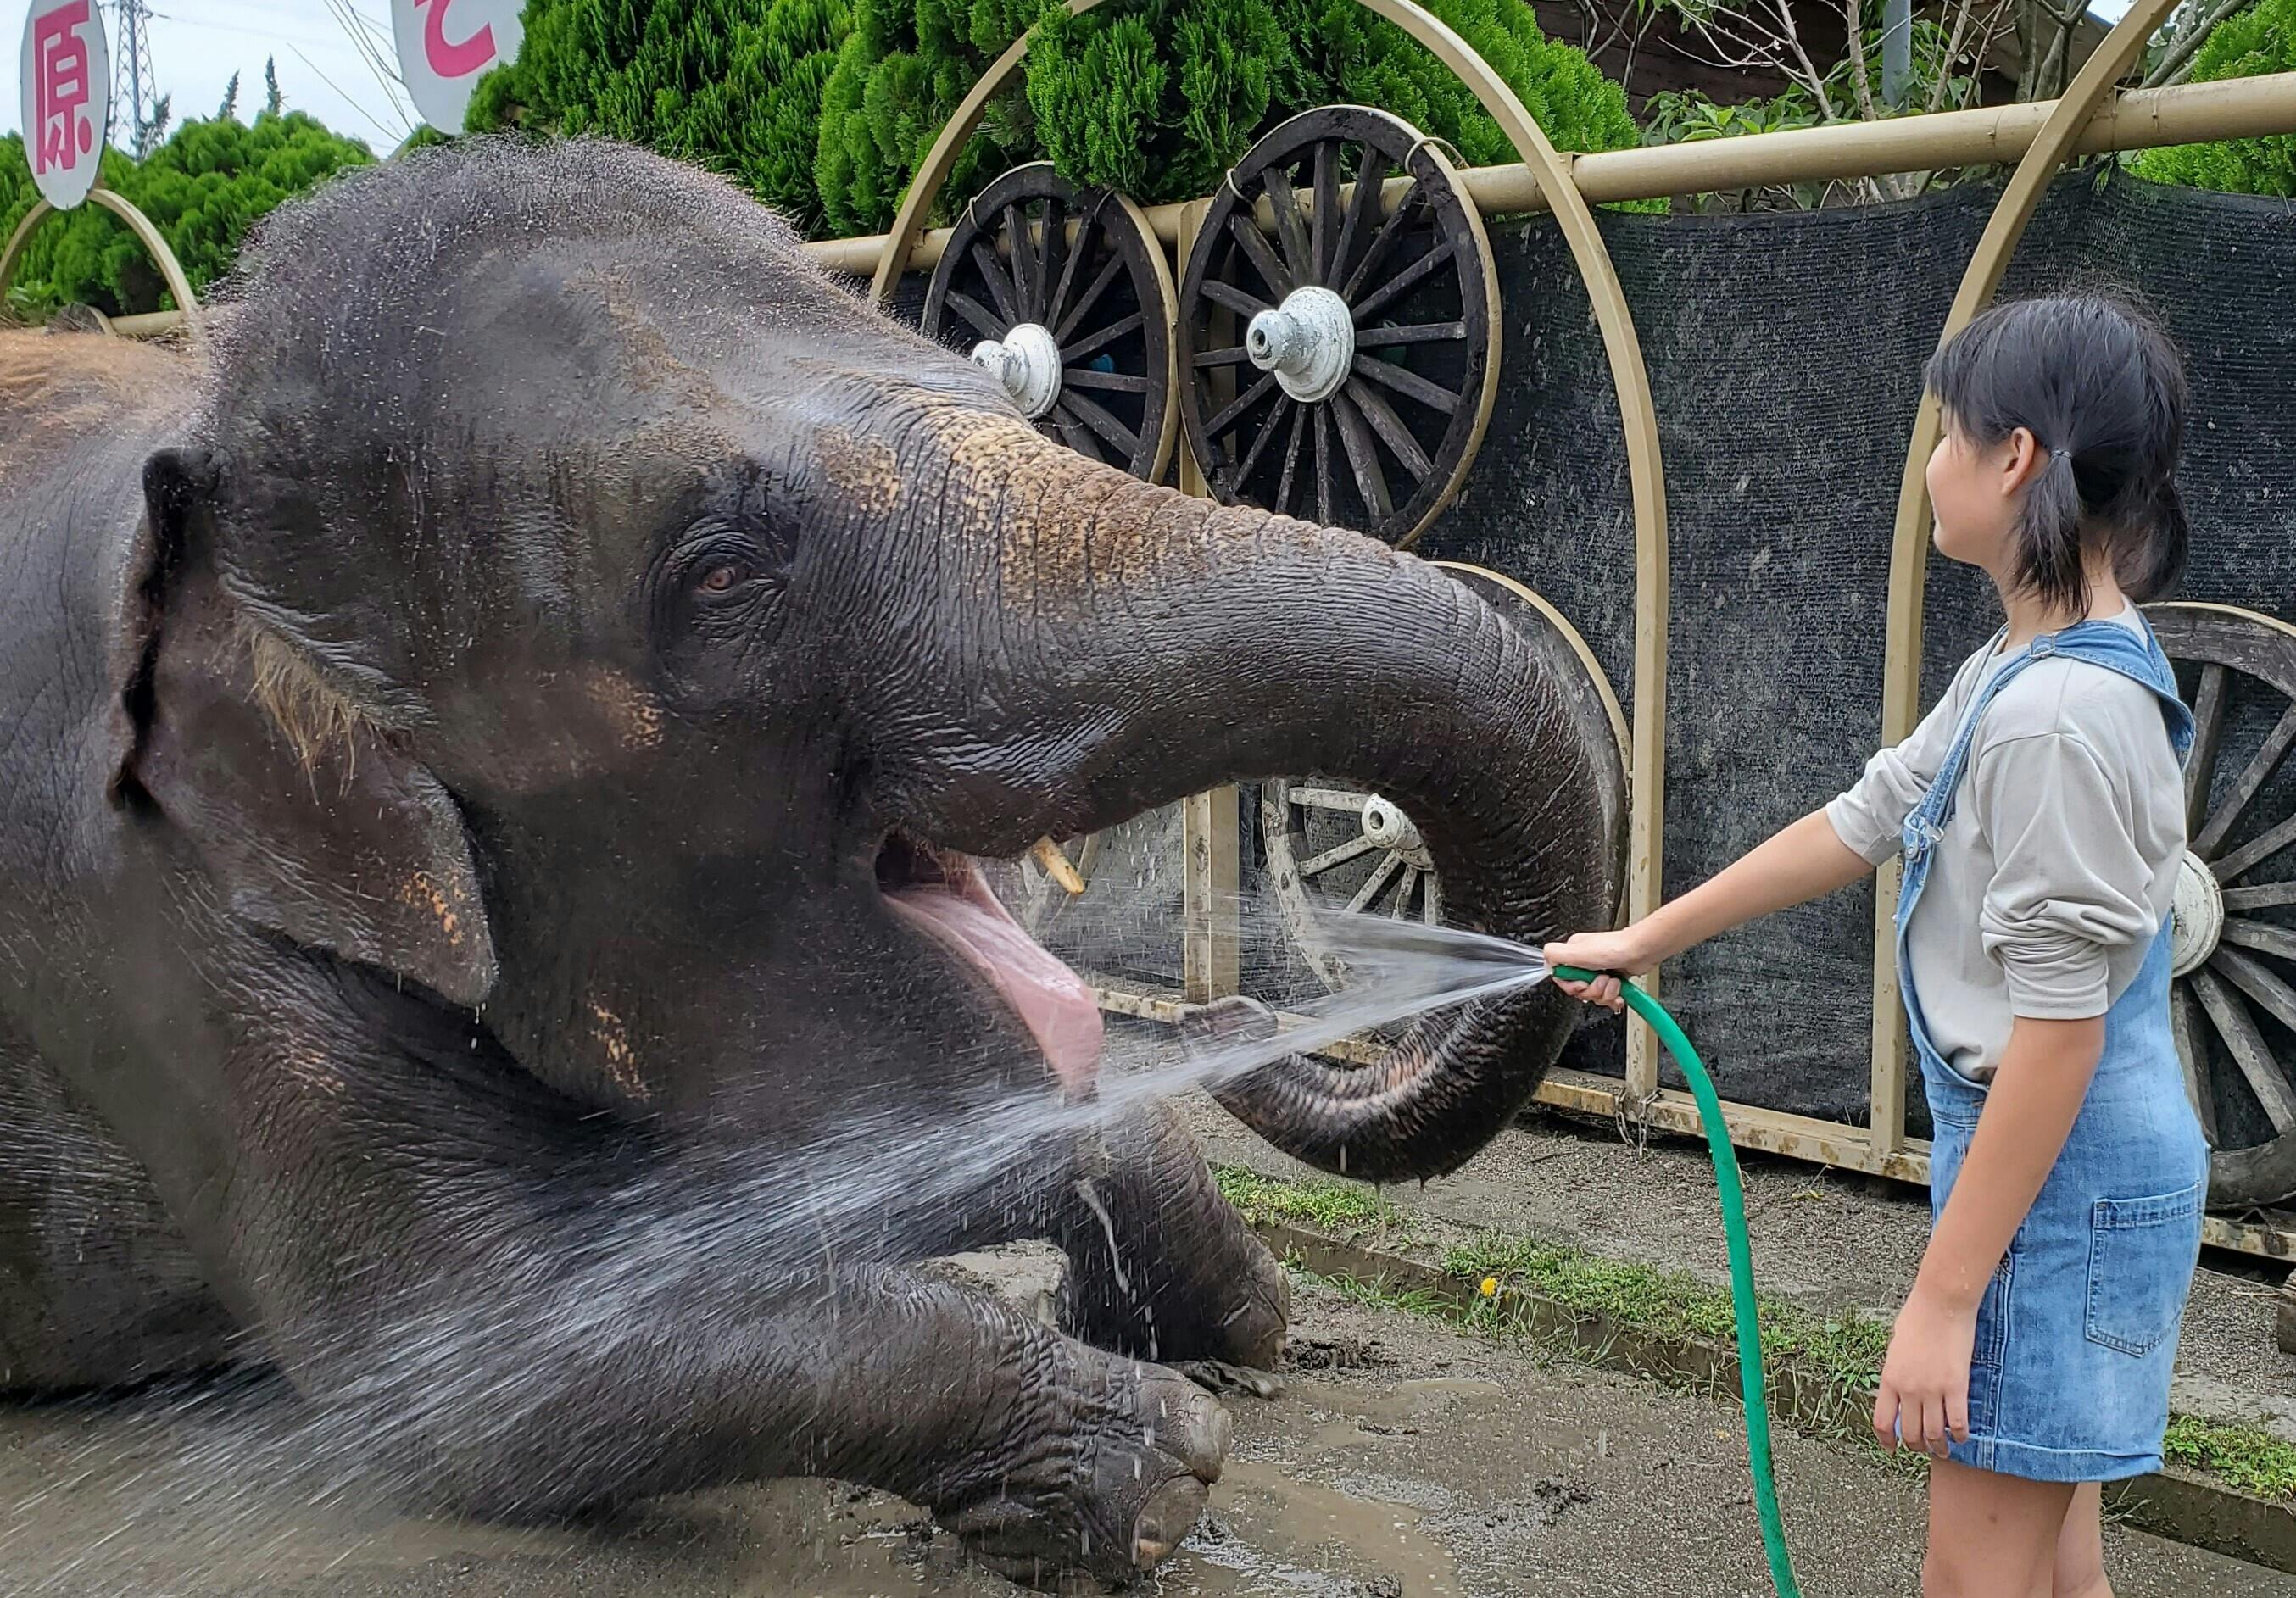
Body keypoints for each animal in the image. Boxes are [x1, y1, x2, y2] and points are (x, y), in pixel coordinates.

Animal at [0, 143, 1625, 1589]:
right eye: (722, 572)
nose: (1240, 1017)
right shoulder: (148, 935)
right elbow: (477, 1360)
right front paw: (1158, 1467)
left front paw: (1239, 1321)